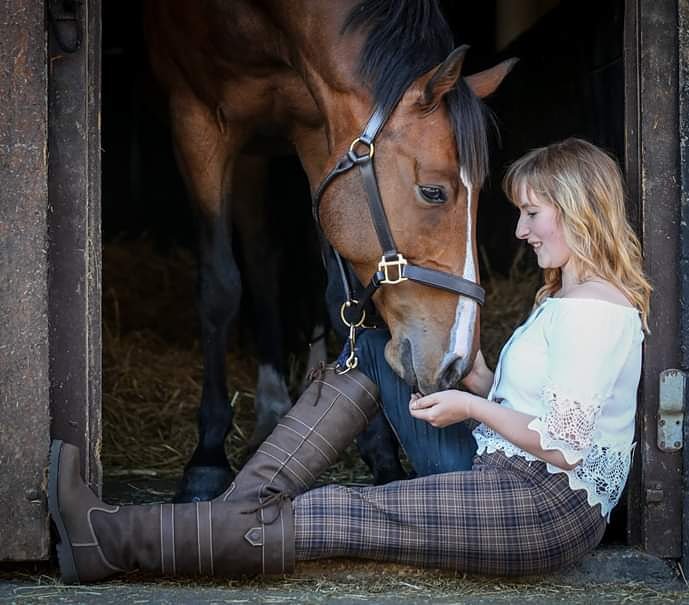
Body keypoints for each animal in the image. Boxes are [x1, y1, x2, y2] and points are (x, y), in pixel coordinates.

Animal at [144, 0, 510, 500]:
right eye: (433, 192)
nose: (457, 363)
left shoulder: (319, 130)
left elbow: (341, 295)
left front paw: (381, 454)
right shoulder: (194, 118)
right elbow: (219, 287)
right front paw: (207, 457)